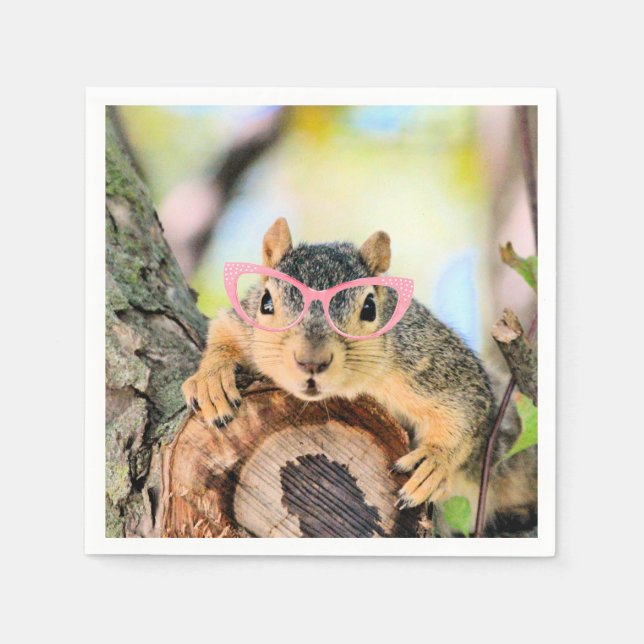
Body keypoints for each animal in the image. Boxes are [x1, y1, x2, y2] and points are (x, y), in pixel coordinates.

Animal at [182, 217, 537, 535]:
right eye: (266, 302)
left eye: (369, 308)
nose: (312, 362)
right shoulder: (243, 323)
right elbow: (223, 330)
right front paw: (212, 379)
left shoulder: (431, 363)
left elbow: (465, 409)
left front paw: (434, 462)